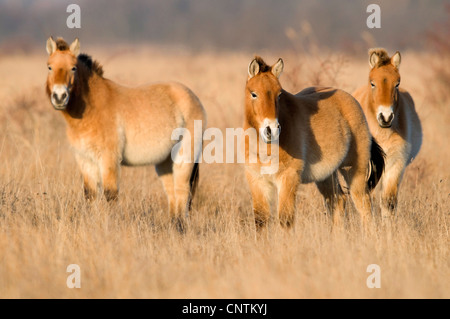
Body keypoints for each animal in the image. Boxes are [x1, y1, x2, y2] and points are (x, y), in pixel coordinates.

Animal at [45, 37, 206, 228]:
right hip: (165, 162)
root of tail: (193, 97)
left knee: (182, 191)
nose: (59, 97)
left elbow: (110, 194)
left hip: (184, 158)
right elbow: (90, 195)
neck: (92, 109)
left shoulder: (109, 159)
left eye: (73, 68)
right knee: (172, 193)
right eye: (49, 67)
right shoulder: (85, 159)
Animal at [243, 56, 384, 229]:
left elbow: (285, 219)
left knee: (364, 205)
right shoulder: (257, 181)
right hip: (326, 176)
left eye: (279, 94)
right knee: (338, 201)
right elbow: (261, 221)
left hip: (355, 171)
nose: (272, 130)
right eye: (254, 94)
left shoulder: (288, 178)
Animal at [356, 48, 422, 221]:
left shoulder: (396, 163)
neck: (382, 133)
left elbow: (388, 201)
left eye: (397, 83)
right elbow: (367, 198)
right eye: (373, 83)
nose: (385, 117)